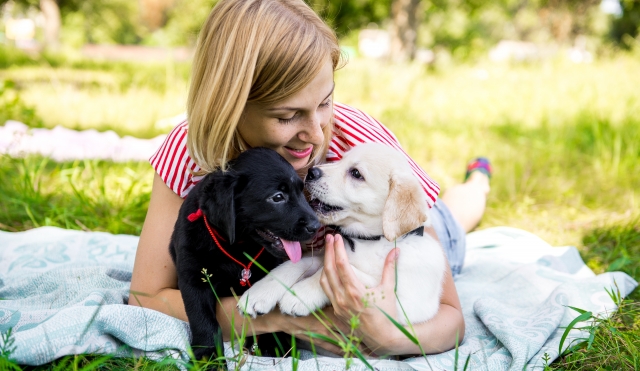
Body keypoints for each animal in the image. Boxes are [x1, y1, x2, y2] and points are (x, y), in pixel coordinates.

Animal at [169, 147, 320, 360]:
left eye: (301, 191)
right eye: (278, 197)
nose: (316, 226)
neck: (237, 246)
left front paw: (273, 344)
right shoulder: (194, 279)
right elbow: (203, 320)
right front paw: (209, 358)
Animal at [239, 142, 444, 326]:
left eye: (356, 173)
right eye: (341, 159)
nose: (312, 172)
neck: (368, 241)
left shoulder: (405, 304)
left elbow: (341, 272)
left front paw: (299, 295)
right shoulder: (322, 255)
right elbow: (292, 266)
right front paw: (259, 293)